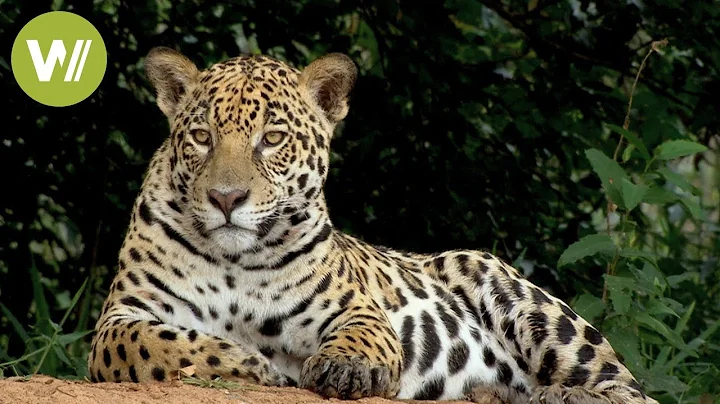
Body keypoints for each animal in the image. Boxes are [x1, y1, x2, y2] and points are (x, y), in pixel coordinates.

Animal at [87, 46, 659, 404]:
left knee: (633, 390)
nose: (226, 198)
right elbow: (160, 343)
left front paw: (344, 368)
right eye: (202, 137)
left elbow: (361, 337)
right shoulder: (120, 318)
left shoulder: (357, 308)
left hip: (517, 295)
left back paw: (567, 393)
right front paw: (252, 364)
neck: (234, 260)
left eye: (272, 139)